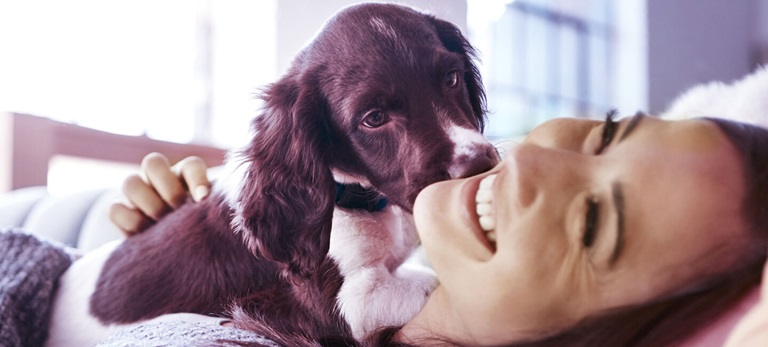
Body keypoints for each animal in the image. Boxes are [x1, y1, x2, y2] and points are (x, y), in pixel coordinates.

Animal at [45, 2, 500, 346]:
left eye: (452, 78)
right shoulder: (338, 307)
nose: (478, 166)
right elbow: (432, 280)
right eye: (373, 118)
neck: (359, 199)